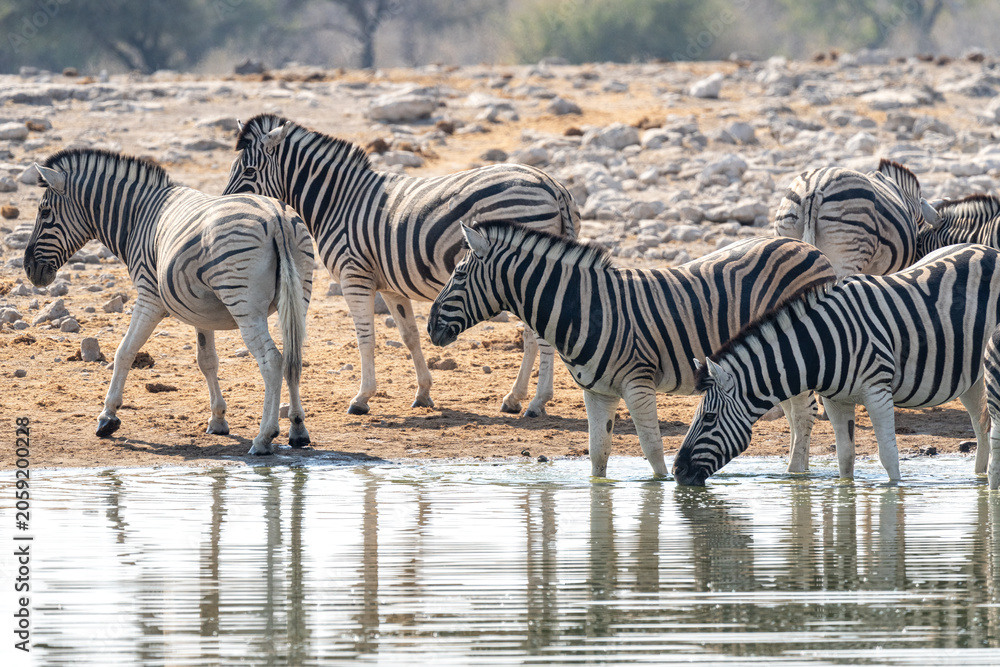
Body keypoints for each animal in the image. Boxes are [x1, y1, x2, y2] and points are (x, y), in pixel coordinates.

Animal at [23, 148, 315, 456]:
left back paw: (264, 438)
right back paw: (297, 429)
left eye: (44, 212)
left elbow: (124, 352)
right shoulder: (201, 312)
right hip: (297, 299)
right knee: (293, 357)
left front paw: (108, 416)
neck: (139, 216)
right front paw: (218, 420)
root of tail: (276, 217)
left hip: (245, 305)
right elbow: (207, 361)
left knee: (272, 361)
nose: (28, 269)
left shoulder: (149, 297)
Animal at [223, 113, 580, 417]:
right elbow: (410, 336)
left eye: (250, 172)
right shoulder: (391, 286)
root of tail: (551, 184)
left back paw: (536, 402)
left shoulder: (355, 277)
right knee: (533, 336)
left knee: (541, 336)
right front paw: (423, 393)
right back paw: (514, 398)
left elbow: (365, 337)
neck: (337, 202)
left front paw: (362, 398)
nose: (227, 205)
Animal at [427, 223, 837, 477]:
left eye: (459, 275)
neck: (583, 307)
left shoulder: (637, 384)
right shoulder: (597, 392)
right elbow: (598, 453)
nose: (430, 326)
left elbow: (653, 452)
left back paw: (795, 479)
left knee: (803, 417)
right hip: (779, 360)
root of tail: (808, 247)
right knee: (795, 416)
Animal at [672, 243, 999, 486]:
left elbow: (888, 456)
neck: (822, 345)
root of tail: (989, 249)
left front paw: (894, 492)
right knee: (981, 425)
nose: (677, 472)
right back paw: (979, 479)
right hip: (970, 375)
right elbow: (845, 458)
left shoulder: (877, 392)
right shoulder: (835, 400)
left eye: (709, 417)